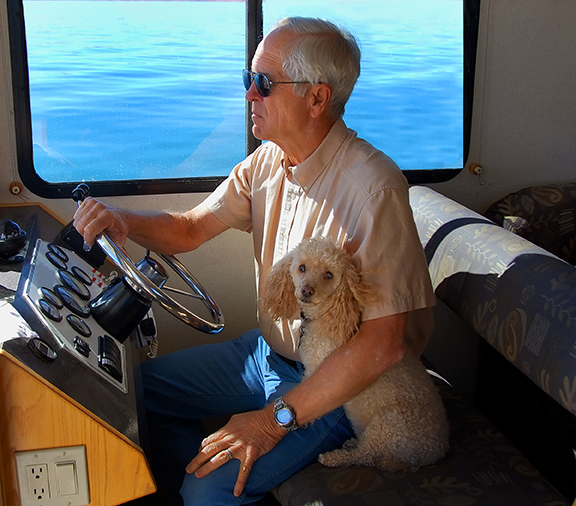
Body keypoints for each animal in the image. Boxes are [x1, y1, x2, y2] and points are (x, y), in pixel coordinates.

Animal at [260, 239, 450, 472]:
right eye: (302, 268)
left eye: (329, 275)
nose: (306, 290)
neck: (328, 315)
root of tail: (436, 453)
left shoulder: (317, 370)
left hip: (388, 425)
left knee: (367, 455)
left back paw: (335, 457)